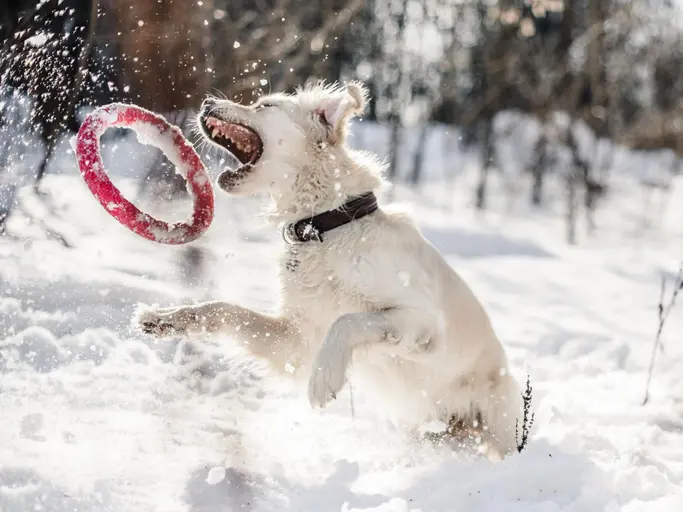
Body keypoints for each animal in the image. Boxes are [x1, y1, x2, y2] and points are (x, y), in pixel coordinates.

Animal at [138, 82, 524, 458]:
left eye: (265, 106)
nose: (205, 102)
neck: (327, 225)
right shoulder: (297, 340)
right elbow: (223, 308)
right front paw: (166, 318)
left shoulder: (424, 322)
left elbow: (349, 321)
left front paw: (324, 379)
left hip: (496, 424)